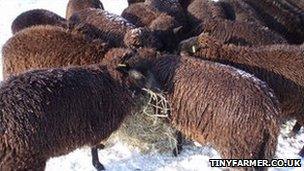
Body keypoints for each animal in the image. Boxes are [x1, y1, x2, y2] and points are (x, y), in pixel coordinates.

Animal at [0, 63, 157, 171]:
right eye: (139, 77)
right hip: (24, 159)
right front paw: (98, 164)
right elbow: (93, 148)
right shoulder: (97, 127)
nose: (157, 89)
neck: (116, 85)